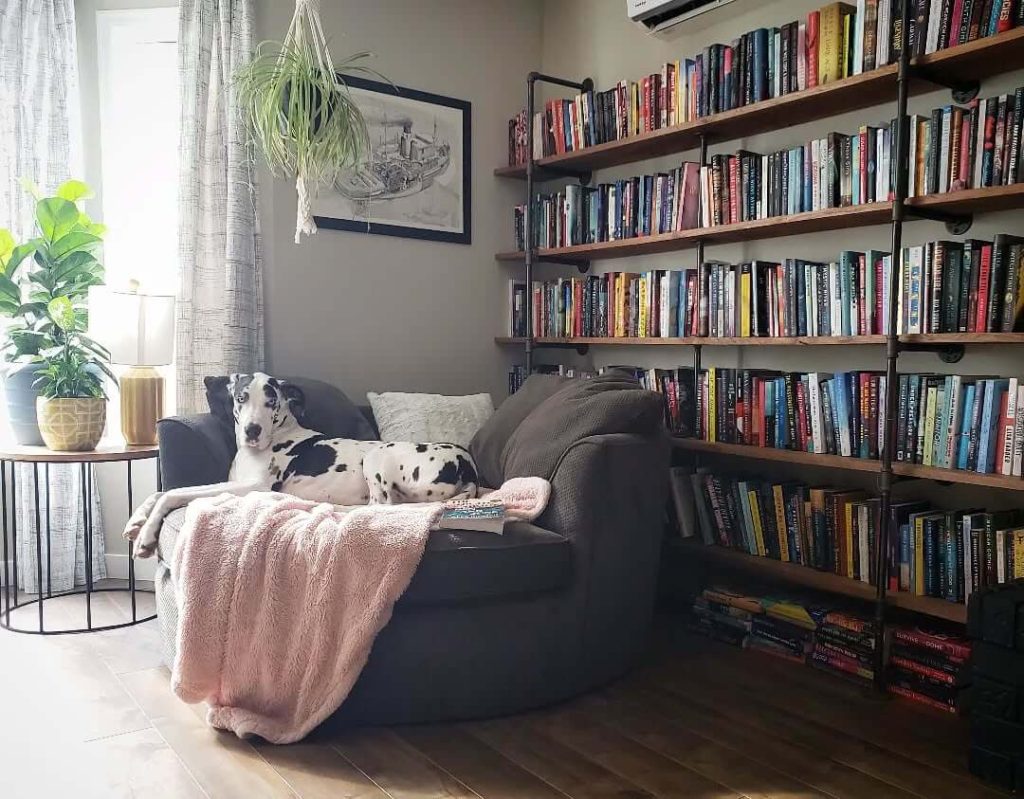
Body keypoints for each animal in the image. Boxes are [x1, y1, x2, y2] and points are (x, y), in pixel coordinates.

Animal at [122, 372, 479, 557]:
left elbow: (175, 493)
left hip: (377, 455)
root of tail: (468, 466)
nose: (252, 430)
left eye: (272, 401)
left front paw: (147, 537)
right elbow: (161, 493)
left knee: (381, 505)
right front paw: (137, 521)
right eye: (241, 397)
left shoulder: (251, 487)